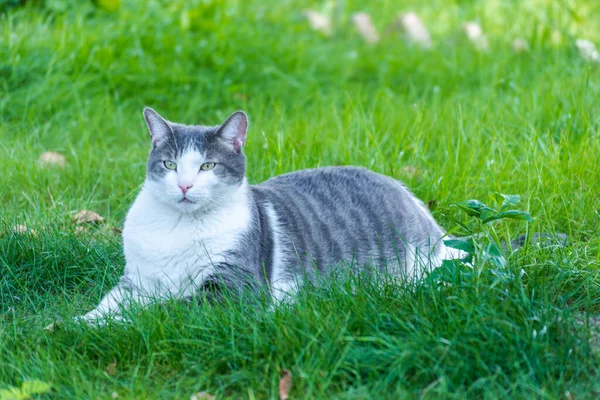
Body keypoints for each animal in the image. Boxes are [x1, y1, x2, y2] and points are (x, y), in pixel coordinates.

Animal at [76, 108, 464, 324]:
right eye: (170, 164)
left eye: (207, 166)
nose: (184, 185)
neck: (179, 228)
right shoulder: (137, 281)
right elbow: (108, 304)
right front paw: (75, 322)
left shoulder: (234, 290)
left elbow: (160, 310)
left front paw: (115, 324)